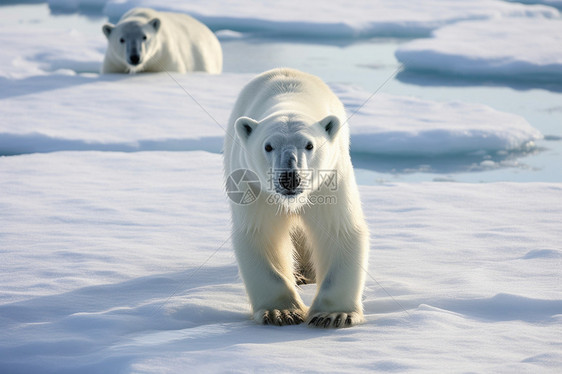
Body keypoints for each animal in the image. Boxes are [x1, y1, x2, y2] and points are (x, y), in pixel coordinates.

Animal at [221, 67, 370, 328]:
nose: (290, 178)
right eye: (268, 146)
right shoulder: (254, 186)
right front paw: (280, 312)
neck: (289, 98)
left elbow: (338, 230)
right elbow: (261, 234)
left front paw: (333, 314)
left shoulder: (329, 180)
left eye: (309, 145)